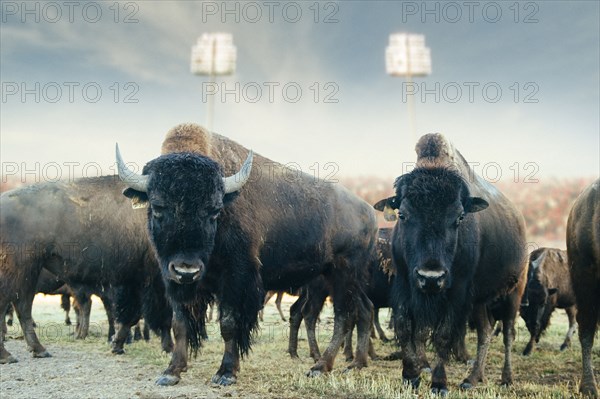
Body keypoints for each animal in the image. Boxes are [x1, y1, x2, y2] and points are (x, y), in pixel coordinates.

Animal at [0, 177, 173, 364]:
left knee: (22, 306)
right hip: (22, 270)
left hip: (29, 272)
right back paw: (8, 355)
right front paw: (168, 348)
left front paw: (117, 345)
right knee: (14, 305)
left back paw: (38, 350)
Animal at [116, 123, 378, 386]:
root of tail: (369, 212)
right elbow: (180, 323)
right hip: (340, 279)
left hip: (343, 275)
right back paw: (356, 363)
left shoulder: (236, 278)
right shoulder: (177, 283)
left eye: (214, 210)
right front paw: (171, 372)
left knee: (344, 316)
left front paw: (226, 373)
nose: (186, 269)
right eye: (158, 207)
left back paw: (321, 366)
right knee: (364, 310)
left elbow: (229, 323)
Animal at [376, 134, 528, 394]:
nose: (431, 277)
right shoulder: (405, 286)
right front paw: (410, 377)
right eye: (402, 215)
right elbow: (406, 328)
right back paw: (472, 379)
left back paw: (506, 379)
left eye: (459, 217)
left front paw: (439, 384)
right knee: (486, 331)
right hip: (480, 301)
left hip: (513, 293)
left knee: (507, 333)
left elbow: (443, 336)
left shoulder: (456, 291)